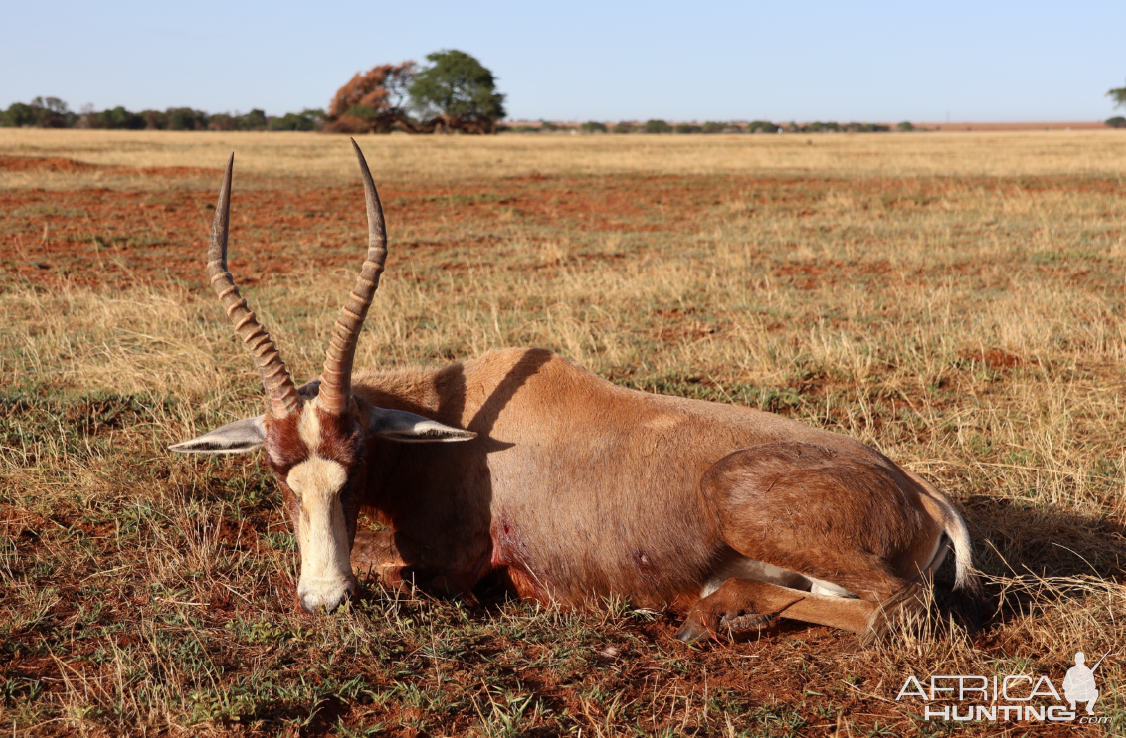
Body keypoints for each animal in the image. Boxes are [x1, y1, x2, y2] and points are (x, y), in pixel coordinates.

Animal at [171, 141, 981, 644]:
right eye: (278, 471)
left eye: (358, 459)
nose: (323, 599)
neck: (455, 425)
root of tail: (916, 490)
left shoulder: (457, 568)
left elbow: (393, 569)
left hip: (749, 505)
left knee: (899, 611)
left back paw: (716, 614)